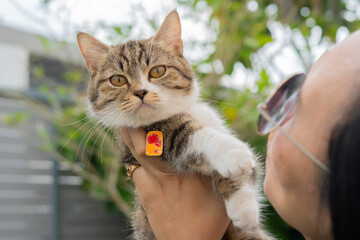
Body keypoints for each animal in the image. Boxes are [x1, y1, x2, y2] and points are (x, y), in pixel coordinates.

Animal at [77, 9, 272, 240]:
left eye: (158, 71)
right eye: (117, 80)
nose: (140, 91)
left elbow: (250, 168)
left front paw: (243, 205)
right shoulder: (158, 138)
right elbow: (187, 135)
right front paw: (233, 154)